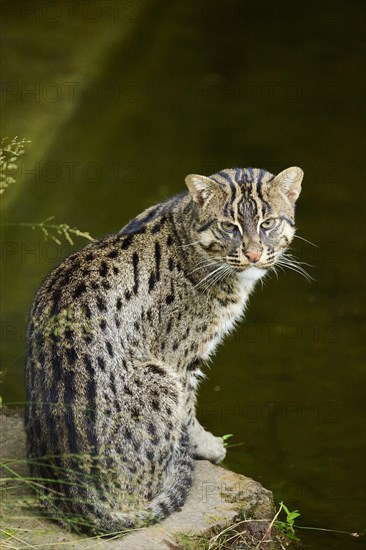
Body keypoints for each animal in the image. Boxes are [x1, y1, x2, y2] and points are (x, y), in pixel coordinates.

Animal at [25, 166, 304, 536]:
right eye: (229, 226)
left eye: (268, 223)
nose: (254, 254)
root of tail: (75, 495)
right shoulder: (179, 358)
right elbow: (188, 409)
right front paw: (206, 444)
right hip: (158, 378)